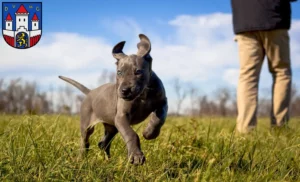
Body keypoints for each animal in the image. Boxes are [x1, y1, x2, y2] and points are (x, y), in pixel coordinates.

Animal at [57, 33, 168, 165]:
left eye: (138, 72)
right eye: (119, 72)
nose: (125, 90)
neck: (142, 94)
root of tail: (91, 92)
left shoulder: (163, 102)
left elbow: (159, 119)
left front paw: (149, 133)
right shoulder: (121, 117)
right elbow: (131, 134)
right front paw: (136, 155)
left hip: (112, 126)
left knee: (103, 143)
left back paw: (108, 161)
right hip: (87, 124)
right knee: (85, 141)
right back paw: (81, 159)